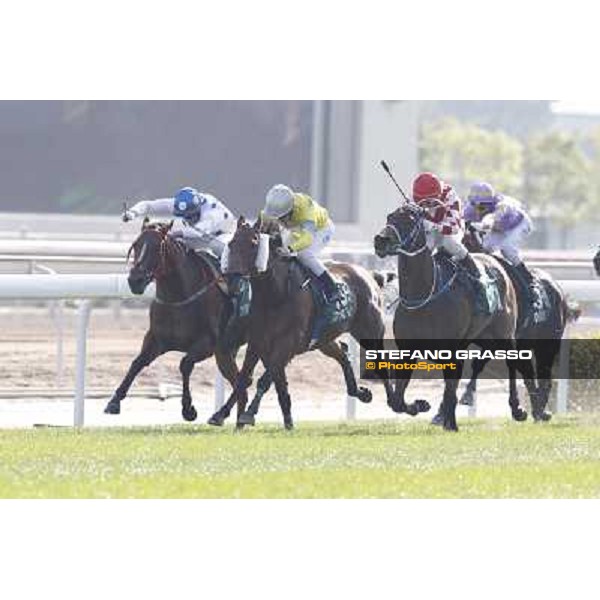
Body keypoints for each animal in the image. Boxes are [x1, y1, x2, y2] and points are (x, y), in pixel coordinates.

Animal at [104, 220, 243, 422]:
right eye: (136, 245)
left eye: (157, 248)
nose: (135, 280)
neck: (178, 298)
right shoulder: (156, 339)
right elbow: (137, 363)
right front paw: (114, 401)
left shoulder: (208, 344)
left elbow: (184, 364)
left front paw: (188, 408)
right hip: (227, 351)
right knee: (240, 379)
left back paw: (223, 415)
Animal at [210, 218, 426, 428]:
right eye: (231, 243)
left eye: (254, 243)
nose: (232, 282)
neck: (276, 293)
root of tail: (369, 275)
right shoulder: (257, 342)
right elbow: (243, 379)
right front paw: (220, 413)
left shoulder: (287, 344)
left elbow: (265, 378)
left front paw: (248, 414)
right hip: (324, 339)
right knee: (343, 353)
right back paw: (360, 392)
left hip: (369, 332)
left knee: (379, 363)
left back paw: (403, 404)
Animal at [372, 202, 536, 432]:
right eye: (390, 217)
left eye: (410, 221)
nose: (380, 240)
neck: (424, 293)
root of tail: (496, 263)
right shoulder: (407, 349)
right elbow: (397, 401)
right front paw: (420, 405)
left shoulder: (451, 349)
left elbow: (450, 388)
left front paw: (449, 423)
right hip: (482, 336)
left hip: (505, 334)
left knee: (512, 363)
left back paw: (517, 408)